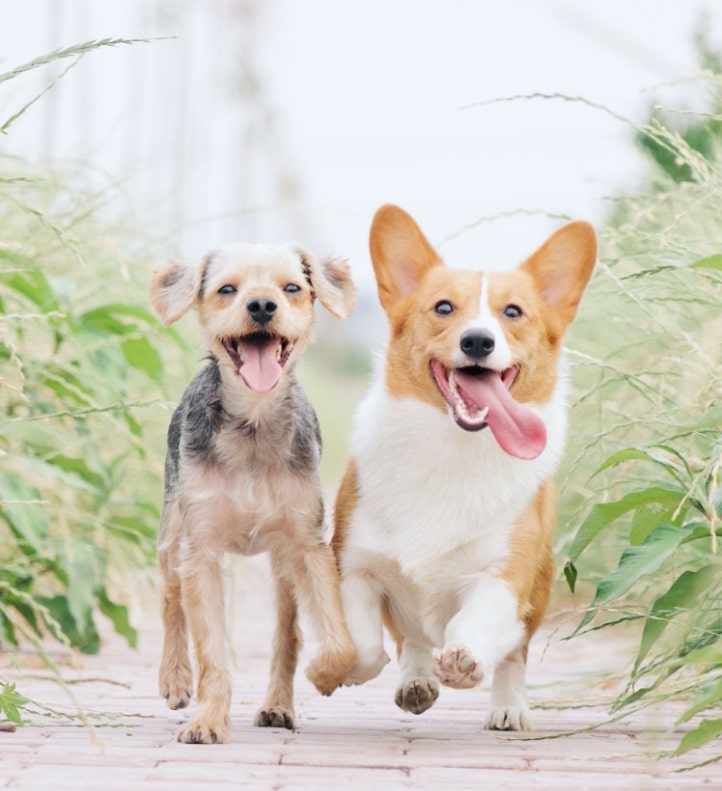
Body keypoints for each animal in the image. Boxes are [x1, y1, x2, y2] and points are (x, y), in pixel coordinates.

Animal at [149, 243, 358, 744]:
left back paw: (278, 706)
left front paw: (326, 674)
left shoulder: (307, 545)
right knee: (170, 600)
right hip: (171, 533)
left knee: (288, 633)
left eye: (292, 288)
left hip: (282, 566)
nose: (262, 305)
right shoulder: (200, 549)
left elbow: (338, 640)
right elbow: (210, 650)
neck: (254, 423)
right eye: (227, 289)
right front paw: (207, 719)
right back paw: (175, 679)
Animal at [330, 204, 592, 732]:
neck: (452, 447)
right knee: (411, 639)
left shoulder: (503, 576)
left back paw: (507, 707)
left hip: (538, 591)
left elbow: (475, 624)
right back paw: (416, 680)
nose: (477, 341)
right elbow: (366, 645)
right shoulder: (354, 565)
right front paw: (353, 670)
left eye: (513, 312)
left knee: (513, 654)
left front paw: (465, 662)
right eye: (444, 308)